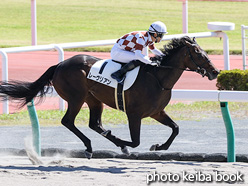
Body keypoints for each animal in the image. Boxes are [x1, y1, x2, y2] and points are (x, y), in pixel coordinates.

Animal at [0, 36, 219, 158]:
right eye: (199, 53)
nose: (215, 72)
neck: (158, 78)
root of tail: (60, 65)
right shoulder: (134, 114)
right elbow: (135, 141)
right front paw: (124, 145)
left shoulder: (157, 112)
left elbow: (175, 128)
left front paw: (158, 146)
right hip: (76, 97)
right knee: (68, 121)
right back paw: (90, 146)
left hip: (94, 100)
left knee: (94, 124)